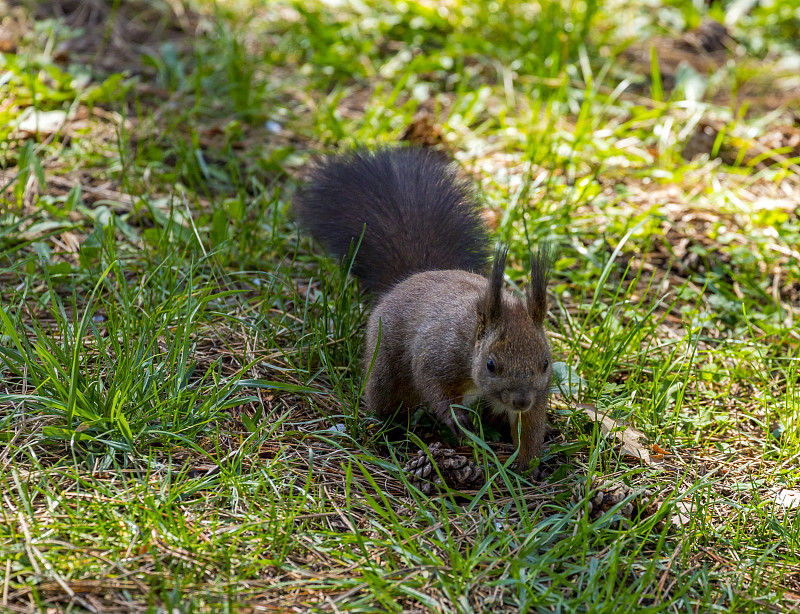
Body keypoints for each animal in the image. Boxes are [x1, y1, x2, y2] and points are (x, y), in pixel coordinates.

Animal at [290, 147, 552, 470]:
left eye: (545, 363)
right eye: (491, 364)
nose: (520, 400)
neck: (471, 340)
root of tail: (410, 278)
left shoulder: (539, 392)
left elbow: (530, 425)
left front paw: (527, 463)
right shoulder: (437, 354)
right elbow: (431, 385)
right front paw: (457, 421)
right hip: (386, 367)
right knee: (389, 401)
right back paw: (390, 433)